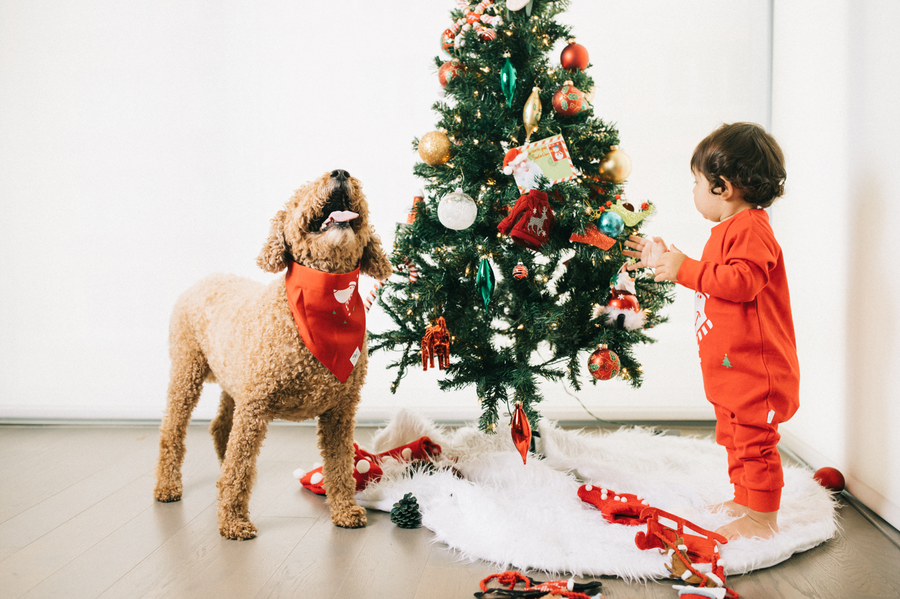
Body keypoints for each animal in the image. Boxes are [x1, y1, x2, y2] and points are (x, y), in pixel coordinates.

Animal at [154, 169, 390, 540]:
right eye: (300, 194)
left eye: (360, 189)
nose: (340, 172)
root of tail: (208, 277)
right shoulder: (255, 405)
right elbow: (240, 467)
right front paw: (233, 521)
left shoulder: (341, 411)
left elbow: (339, 465)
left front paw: (344, 510)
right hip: (187, 370)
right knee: (172, 432)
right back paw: (167, 486)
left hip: (233, 379)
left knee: (221, 428)